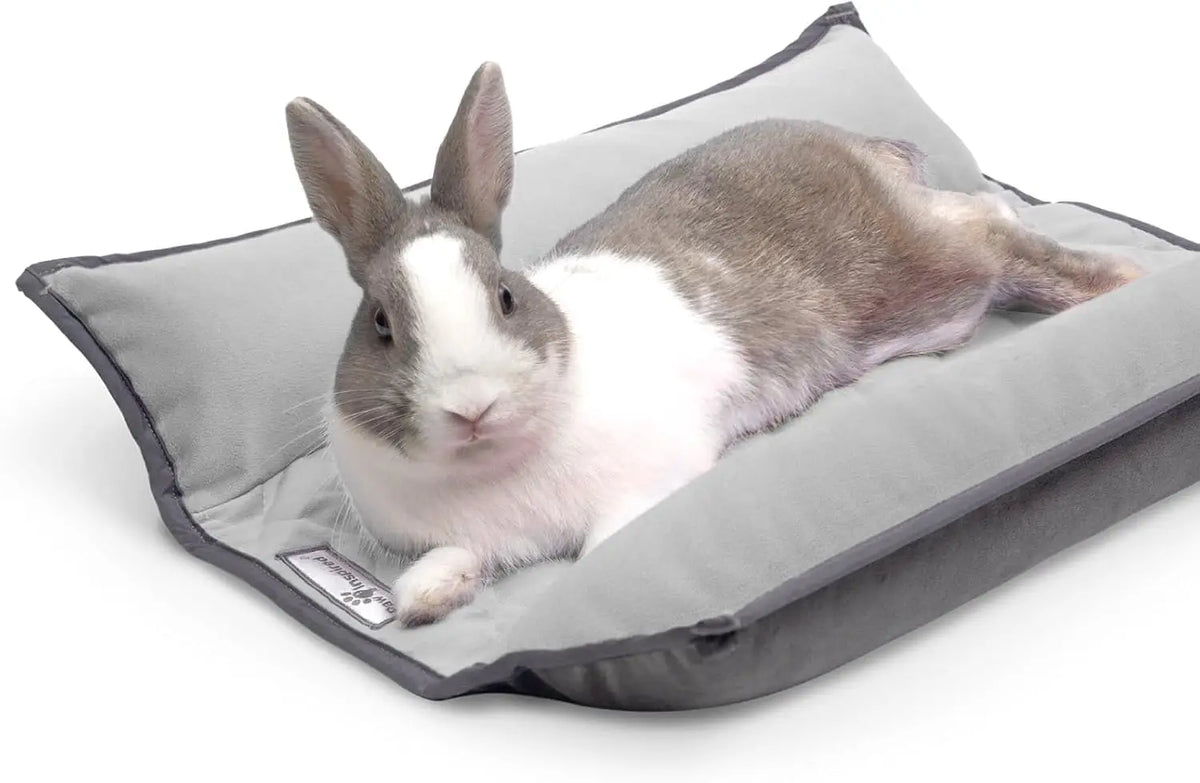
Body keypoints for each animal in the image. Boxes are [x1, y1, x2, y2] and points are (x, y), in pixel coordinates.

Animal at [285, 63, 1141, 627]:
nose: (472, 405)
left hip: (928, 279)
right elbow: (435, 570)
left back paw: (1121, 278)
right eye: (381, 324)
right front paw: (427, 600)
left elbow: (602, 554)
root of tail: (864, 149)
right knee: (986, 213)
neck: (492, 467)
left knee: (993, 232)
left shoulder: (647, 485)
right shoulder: (466, 538)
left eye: (504, 295)